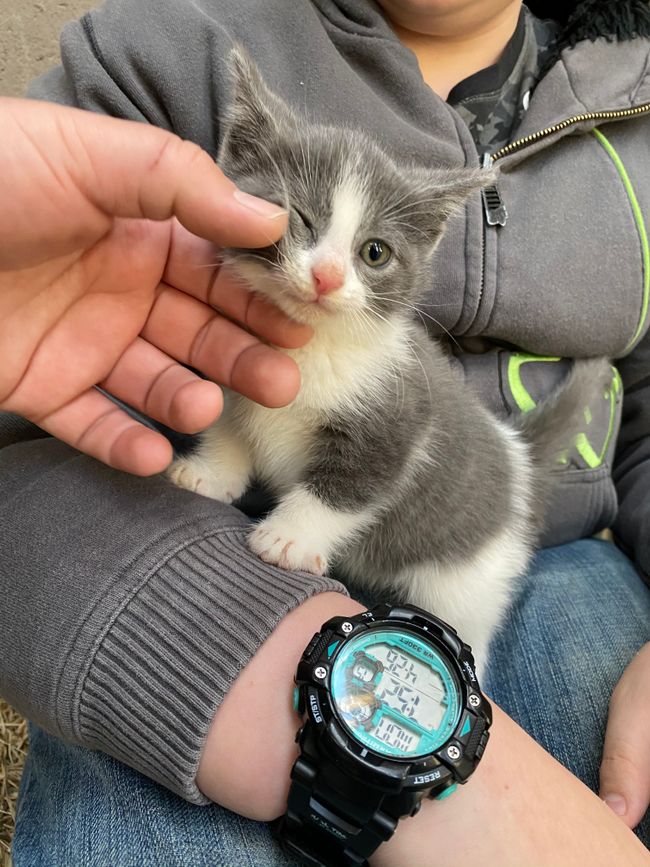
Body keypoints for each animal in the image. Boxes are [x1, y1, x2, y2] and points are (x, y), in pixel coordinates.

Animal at [168, 49, 608, 672]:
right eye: (300, 219)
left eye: (374, 253)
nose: (327, 276)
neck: (311, 346)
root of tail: (518, 456)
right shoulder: (239, 372)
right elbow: (231, 430)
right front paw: (209, 474)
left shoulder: (396, 426)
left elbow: (348, 488)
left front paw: (288, 539)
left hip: (468, 580)